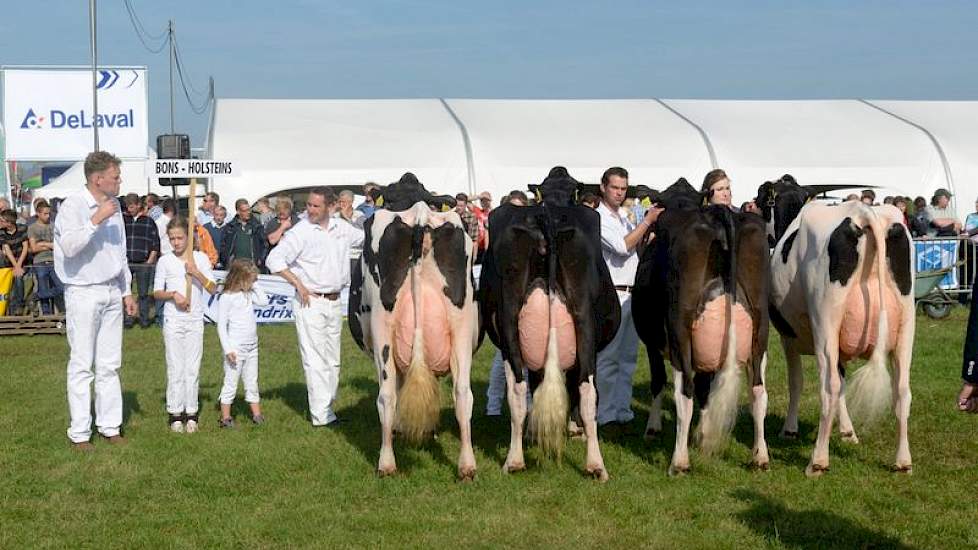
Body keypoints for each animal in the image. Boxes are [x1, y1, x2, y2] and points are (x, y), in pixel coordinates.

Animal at [346, 175, 480, 480]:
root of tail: (419, 212)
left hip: (382, 328)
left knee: (386, 396)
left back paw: (386, 463)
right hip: (461, 326)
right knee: (463, 393)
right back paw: (467, 465)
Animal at [478, 168, 616, 484]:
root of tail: (547, 215)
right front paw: (573, 429)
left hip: (509, 322)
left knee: (518, 390)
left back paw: (514, 461)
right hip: (584, 321)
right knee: (586, 389)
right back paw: (596, 465)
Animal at [632, 179, 772, 476]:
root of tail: (718, 215)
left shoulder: (651, 342)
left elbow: (658, 381)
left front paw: (653, 428)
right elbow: (706, 390)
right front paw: (703, 436)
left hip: (679, 330)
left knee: (684, 392)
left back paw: (679, 461)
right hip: (761, 326)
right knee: (758, 390)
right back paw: (760, 457)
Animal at [756, 177, 916, 478]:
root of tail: (864, 212)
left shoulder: (788, 337)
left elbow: (798, 382)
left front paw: (790, 429)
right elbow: (843, 384)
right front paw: (848, 432)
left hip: (825, 324)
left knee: (828, 386)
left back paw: (818, 460)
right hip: (906, 327)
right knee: (902, 390)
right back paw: (903, 461)